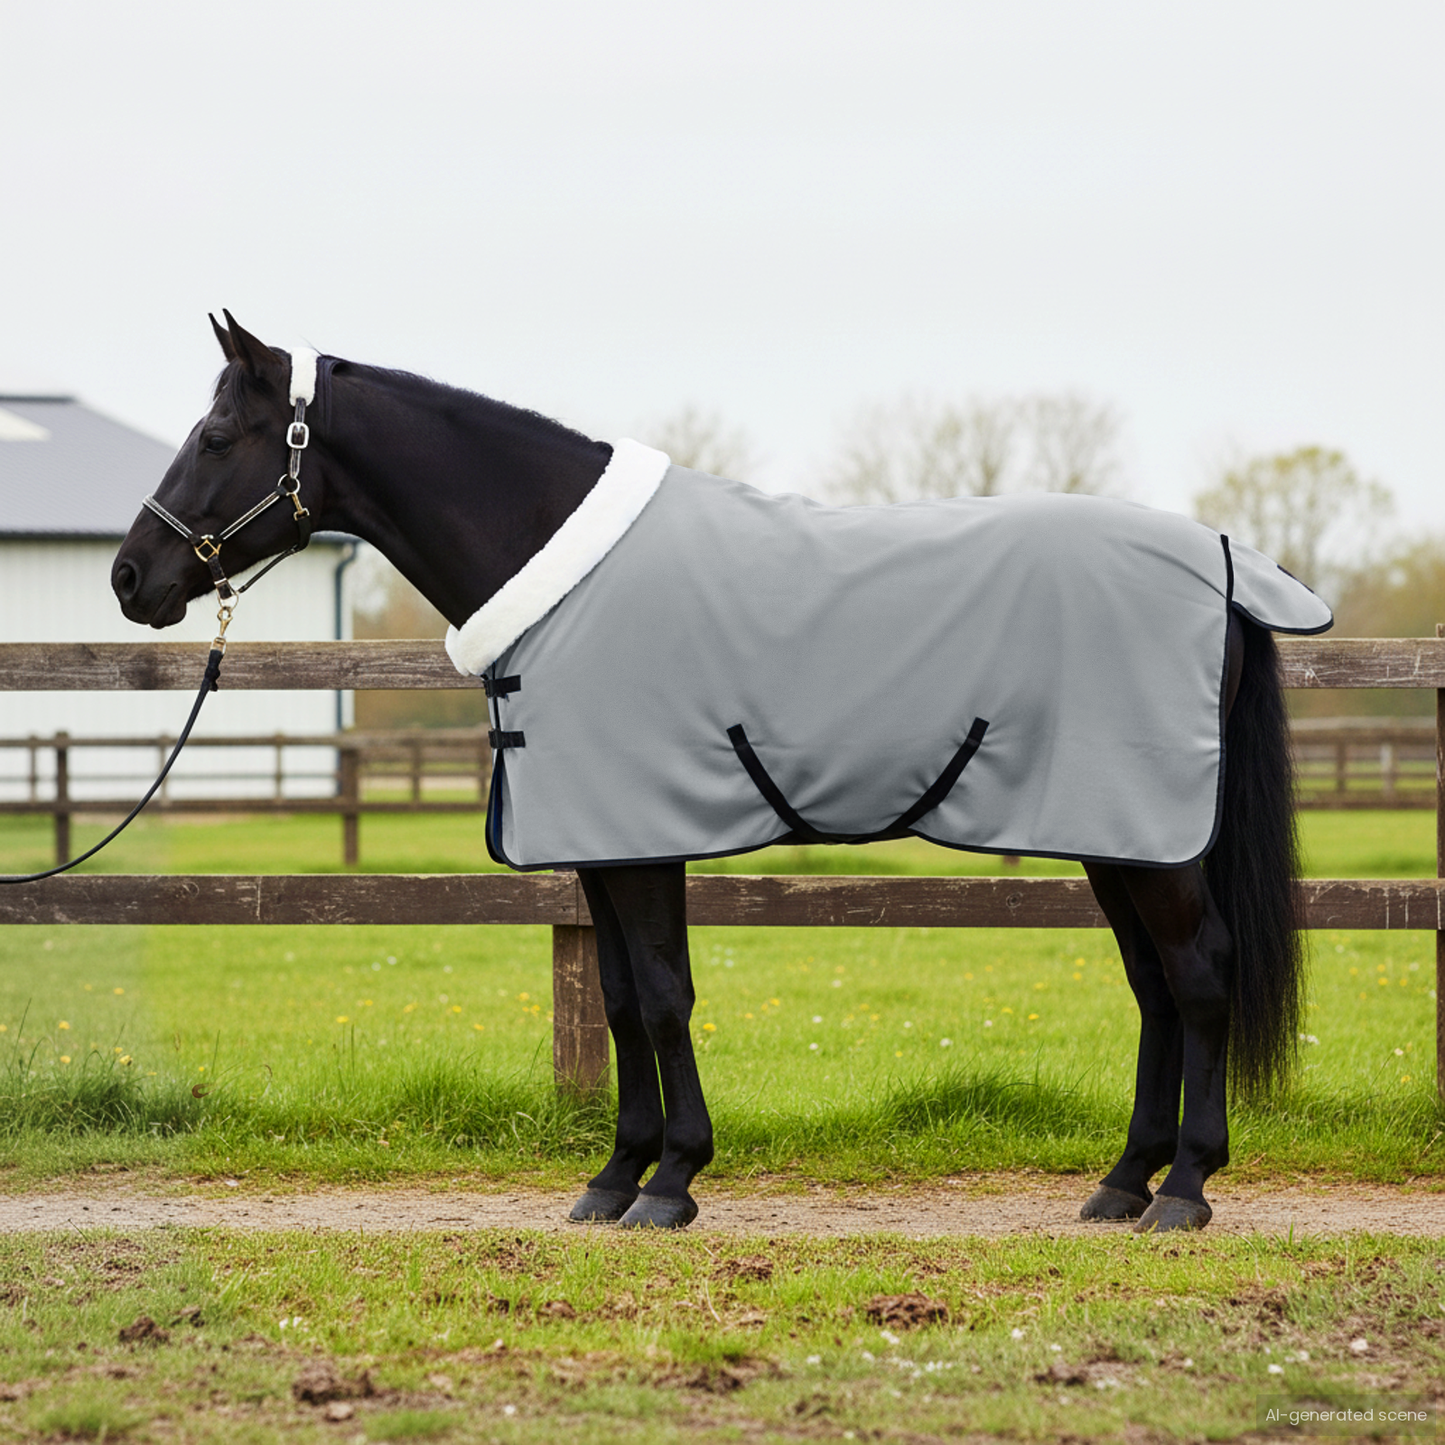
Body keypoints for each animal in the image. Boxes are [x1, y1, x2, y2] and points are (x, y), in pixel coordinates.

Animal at [113, 313, 1321, 1234]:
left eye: (216, 434)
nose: (131, 576)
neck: (559, 568)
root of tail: (1222, 561)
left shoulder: (642, 839)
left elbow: (659, 996)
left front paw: (672, 1181)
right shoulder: (599, 845)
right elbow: (616, 1000)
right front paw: (615, 1177)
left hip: (1151, 840)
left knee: (1198, 973)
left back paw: (1184, 1188)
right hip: (1116, 834)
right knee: (1153, 985)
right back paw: (1122, 1182)